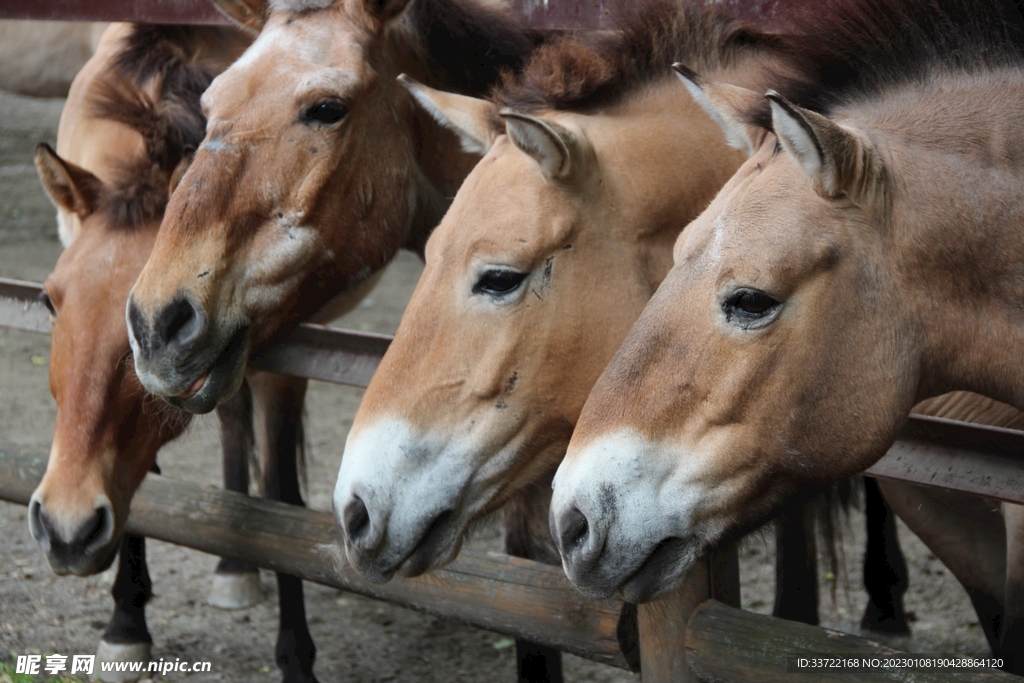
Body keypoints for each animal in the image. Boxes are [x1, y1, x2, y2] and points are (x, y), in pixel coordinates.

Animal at [27, 23, 335, 683]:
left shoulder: (286, 361)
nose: (65, 529)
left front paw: (296, 655)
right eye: (47, 301)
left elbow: (285, 499)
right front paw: (126, 624)